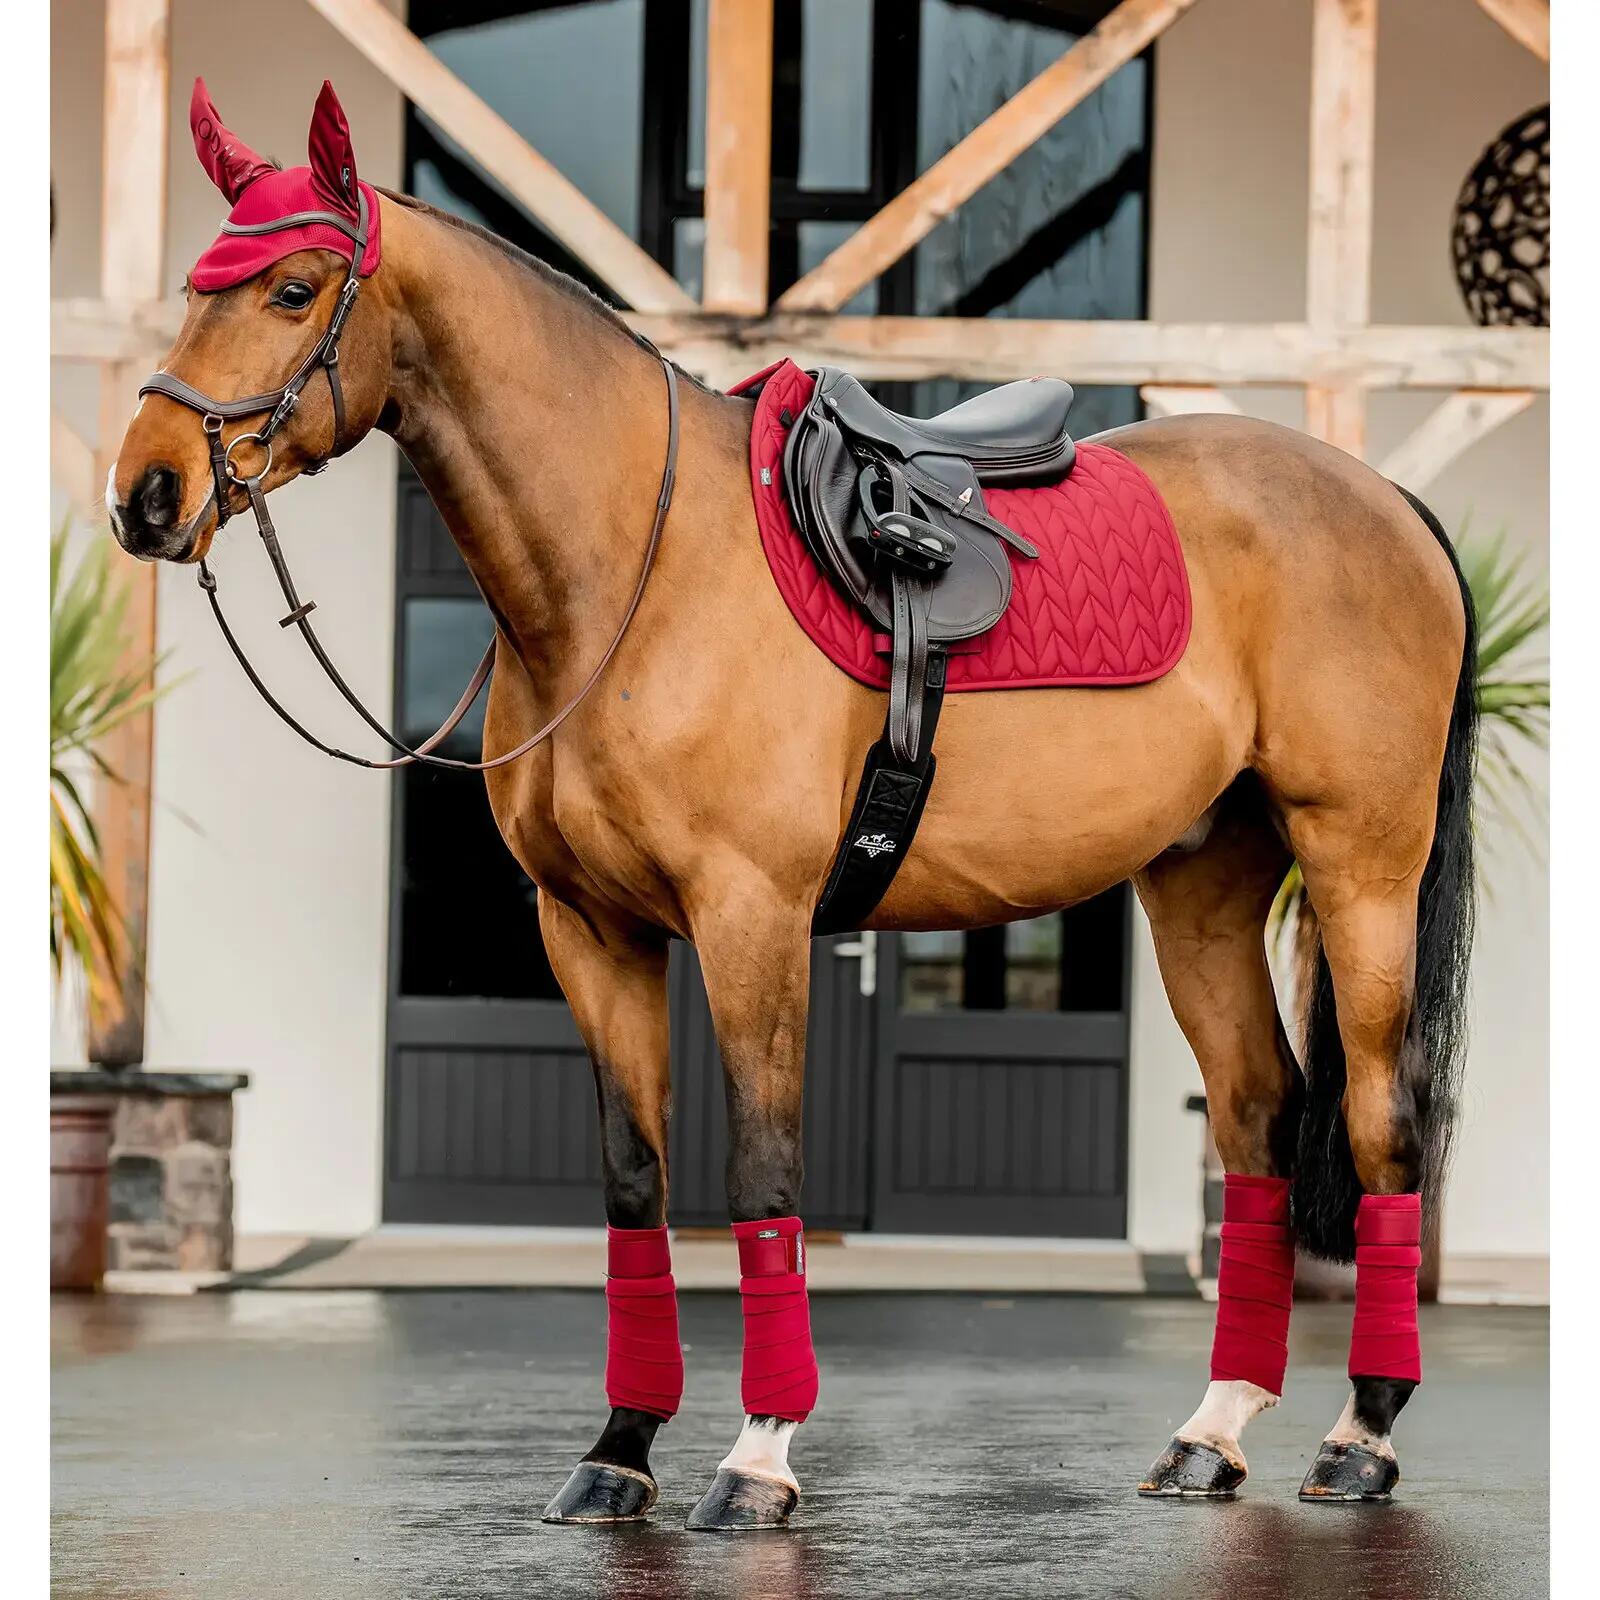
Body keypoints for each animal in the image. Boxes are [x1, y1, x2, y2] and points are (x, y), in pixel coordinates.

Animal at [110, 81, 1475, 1527]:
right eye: (192, 291)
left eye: (293, 287)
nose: (147, 495)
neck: (636, 571)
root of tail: (1385, 501)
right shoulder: (589, 932)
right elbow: (633, 1182)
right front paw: (618, 1448)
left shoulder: (749, 918)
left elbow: (762, 1173)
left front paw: (755, 1454)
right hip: (1203, 886)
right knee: (1260, 1115)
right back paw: (1212, 1433)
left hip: (1361, 867)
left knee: (1381, 1122)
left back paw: (1361, 1435)